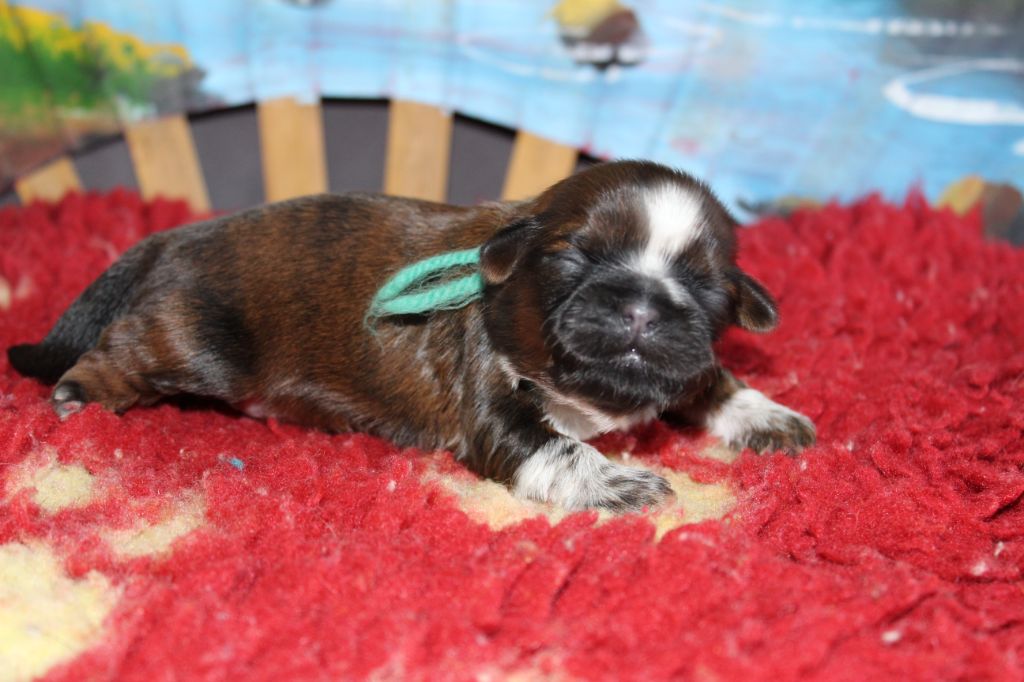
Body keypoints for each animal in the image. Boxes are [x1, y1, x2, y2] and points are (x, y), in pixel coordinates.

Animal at [7, 160, 815, 511]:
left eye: (702, 287)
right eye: (577, 259)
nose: (644, 309)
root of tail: (177, 236)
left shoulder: (685, 356)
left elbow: (708, 376)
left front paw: (766, 415)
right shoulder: (491, 399)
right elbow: (556, 445)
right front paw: (617, 481)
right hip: (203, 343)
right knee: (131, 343)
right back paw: (82, 388)